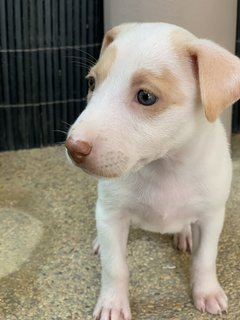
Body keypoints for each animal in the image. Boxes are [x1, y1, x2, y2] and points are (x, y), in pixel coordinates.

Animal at [65, 23, 240, 320]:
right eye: (91, 83)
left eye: (146, 97)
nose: (73, 147)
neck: (164, 166)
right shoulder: (112, 213)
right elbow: (115, 267)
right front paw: (112, 303)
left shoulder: (212, 216)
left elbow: (205, 259)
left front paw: (207, 292)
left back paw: (184, 234)